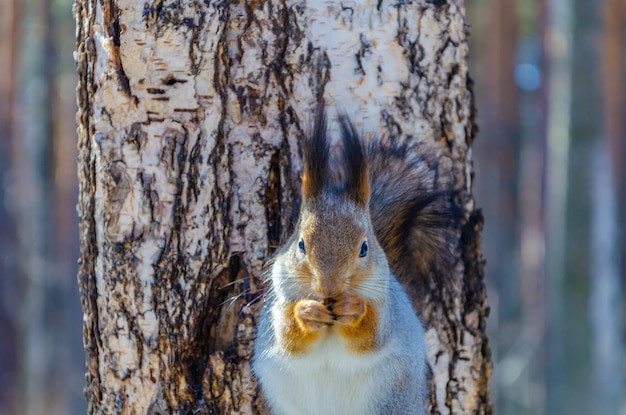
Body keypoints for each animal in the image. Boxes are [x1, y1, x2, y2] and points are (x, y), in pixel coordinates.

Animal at [251, 106, 456, 415]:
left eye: (364, 248)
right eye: (300, 244)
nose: (329, 288)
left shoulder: (385, 305)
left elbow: (370, 337)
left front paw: (353, 309)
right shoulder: (280, 300)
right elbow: (289, 339)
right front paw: (307, 312)